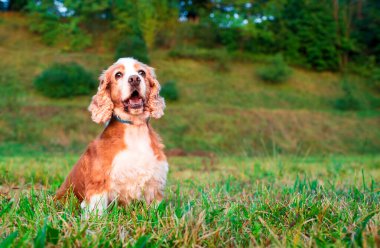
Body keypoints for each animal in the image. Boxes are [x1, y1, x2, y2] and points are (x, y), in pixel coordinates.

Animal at [55, 57, 168, 215]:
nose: (134, 79)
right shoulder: (99, 183)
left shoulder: (154, 182)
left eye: (142, 72)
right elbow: (96, 211)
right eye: (118, 74)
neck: (134, 128)